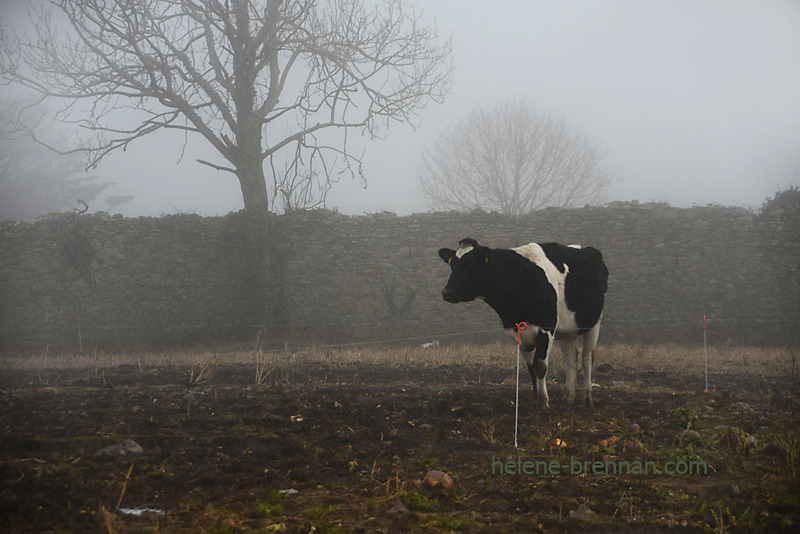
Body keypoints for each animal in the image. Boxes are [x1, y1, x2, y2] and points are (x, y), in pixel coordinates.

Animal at [440, 237, 608, 408]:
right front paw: (535, 397)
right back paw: (568, 396)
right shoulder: (518, 330)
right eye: (452, 264)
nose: (447, 293)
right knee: (570, 358)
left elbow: (540, 365)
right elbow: (530, 367)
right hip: (566, 330)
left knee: (587, 358)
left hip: (594, 322)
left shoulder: (546, 327)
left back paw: (586, 397)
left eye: (470, 265)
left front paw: (543, 402)